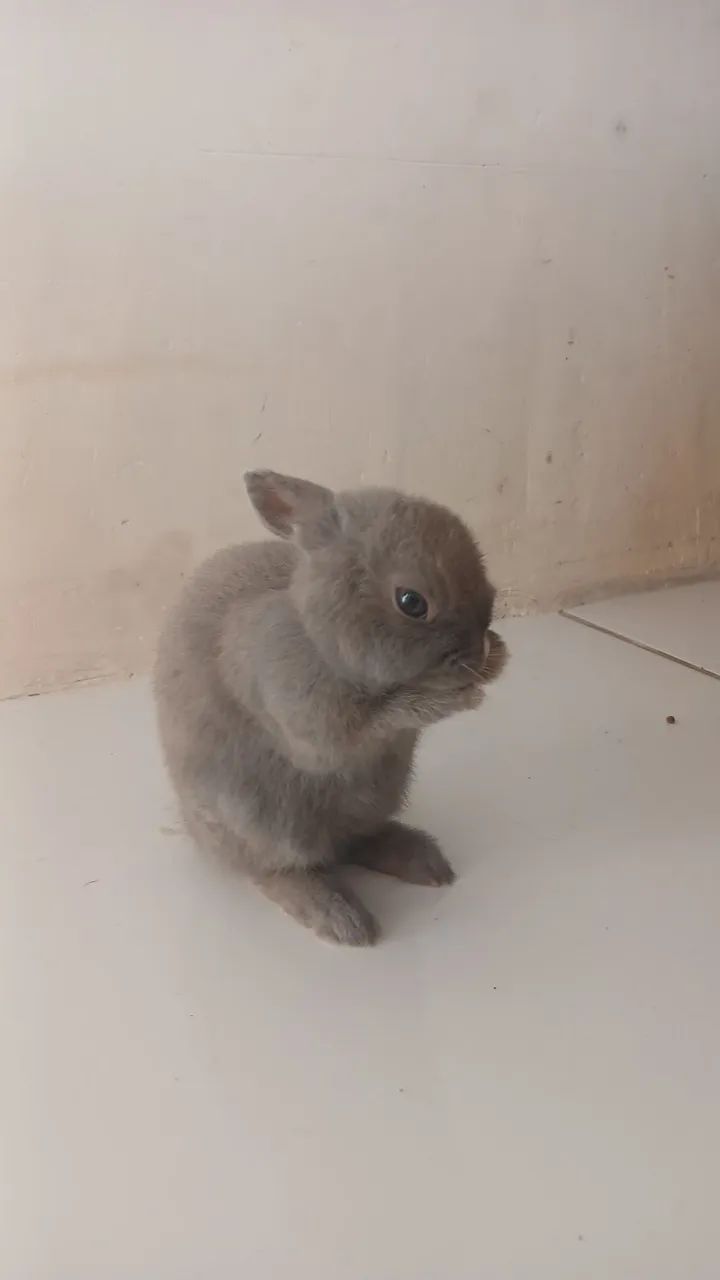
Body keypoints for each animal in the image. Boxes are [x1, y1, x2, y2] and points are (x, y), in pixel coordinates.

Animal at [154, 470, 507, 945]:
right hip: (261, 822)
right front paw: (455, 696)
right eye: (412, 602)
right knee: (275, 870)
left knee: (355, 841)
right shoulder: (310, 719)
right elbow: (368, 724)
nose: (480, 648)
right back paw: (341, 919)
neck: (318, 633)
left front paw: (496, 659)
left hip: (378, 796)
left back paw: (424, 862)